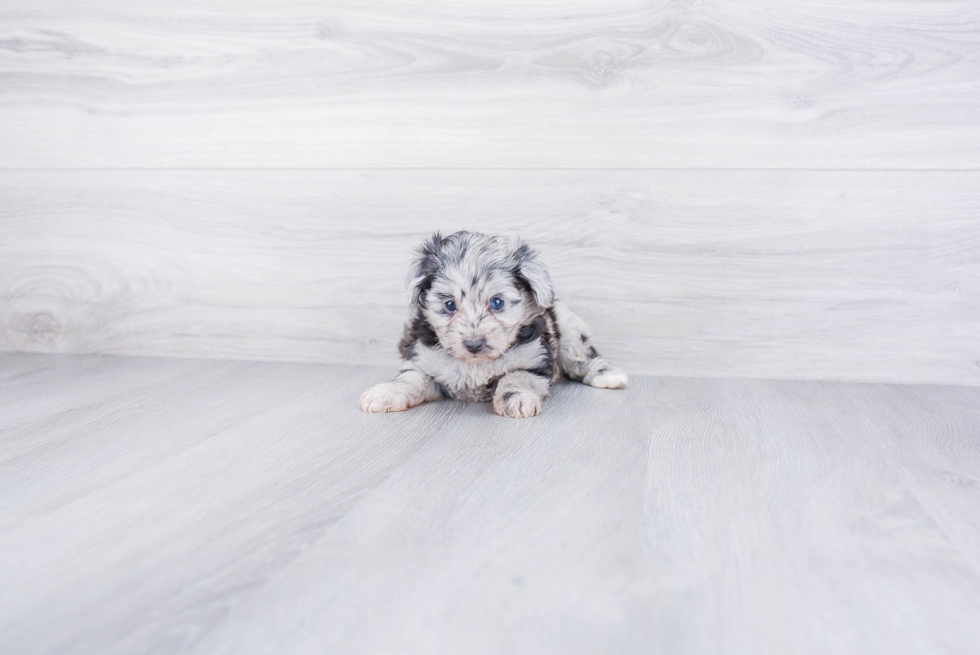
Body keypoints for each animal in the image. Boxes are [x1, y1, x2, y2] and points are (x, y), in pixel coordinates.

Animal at [360, 231, 628, 418]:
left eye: (497, 303)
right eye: (449, 305)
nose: (474, 344)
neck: (476, 365)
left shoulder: (534, 361)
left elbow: (516, 377)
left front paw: (514, 399)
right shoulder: (424, 360)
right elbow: (409, 379)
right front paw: (385, 392)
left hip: (570, 329)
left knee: (583, 358)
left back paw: (608, 375)